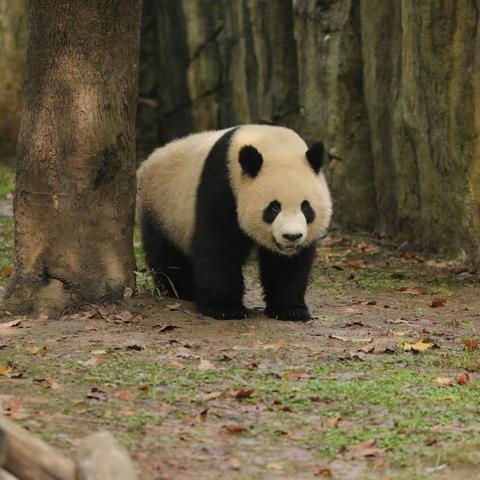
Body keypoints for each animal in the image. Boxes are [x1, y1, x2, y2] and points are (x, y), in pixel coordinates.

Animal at [135, 124, 330, 320]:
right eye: (274, 208)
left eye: (306, 207)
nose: (291, 236)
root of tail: (148, 161)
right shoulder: (222, 186)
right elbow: (219, 246)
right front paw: (225, 308)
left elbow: (286, 265)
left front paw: (290, 309)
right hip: (162, 209)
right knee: (167, 254)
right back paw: (181, 290)